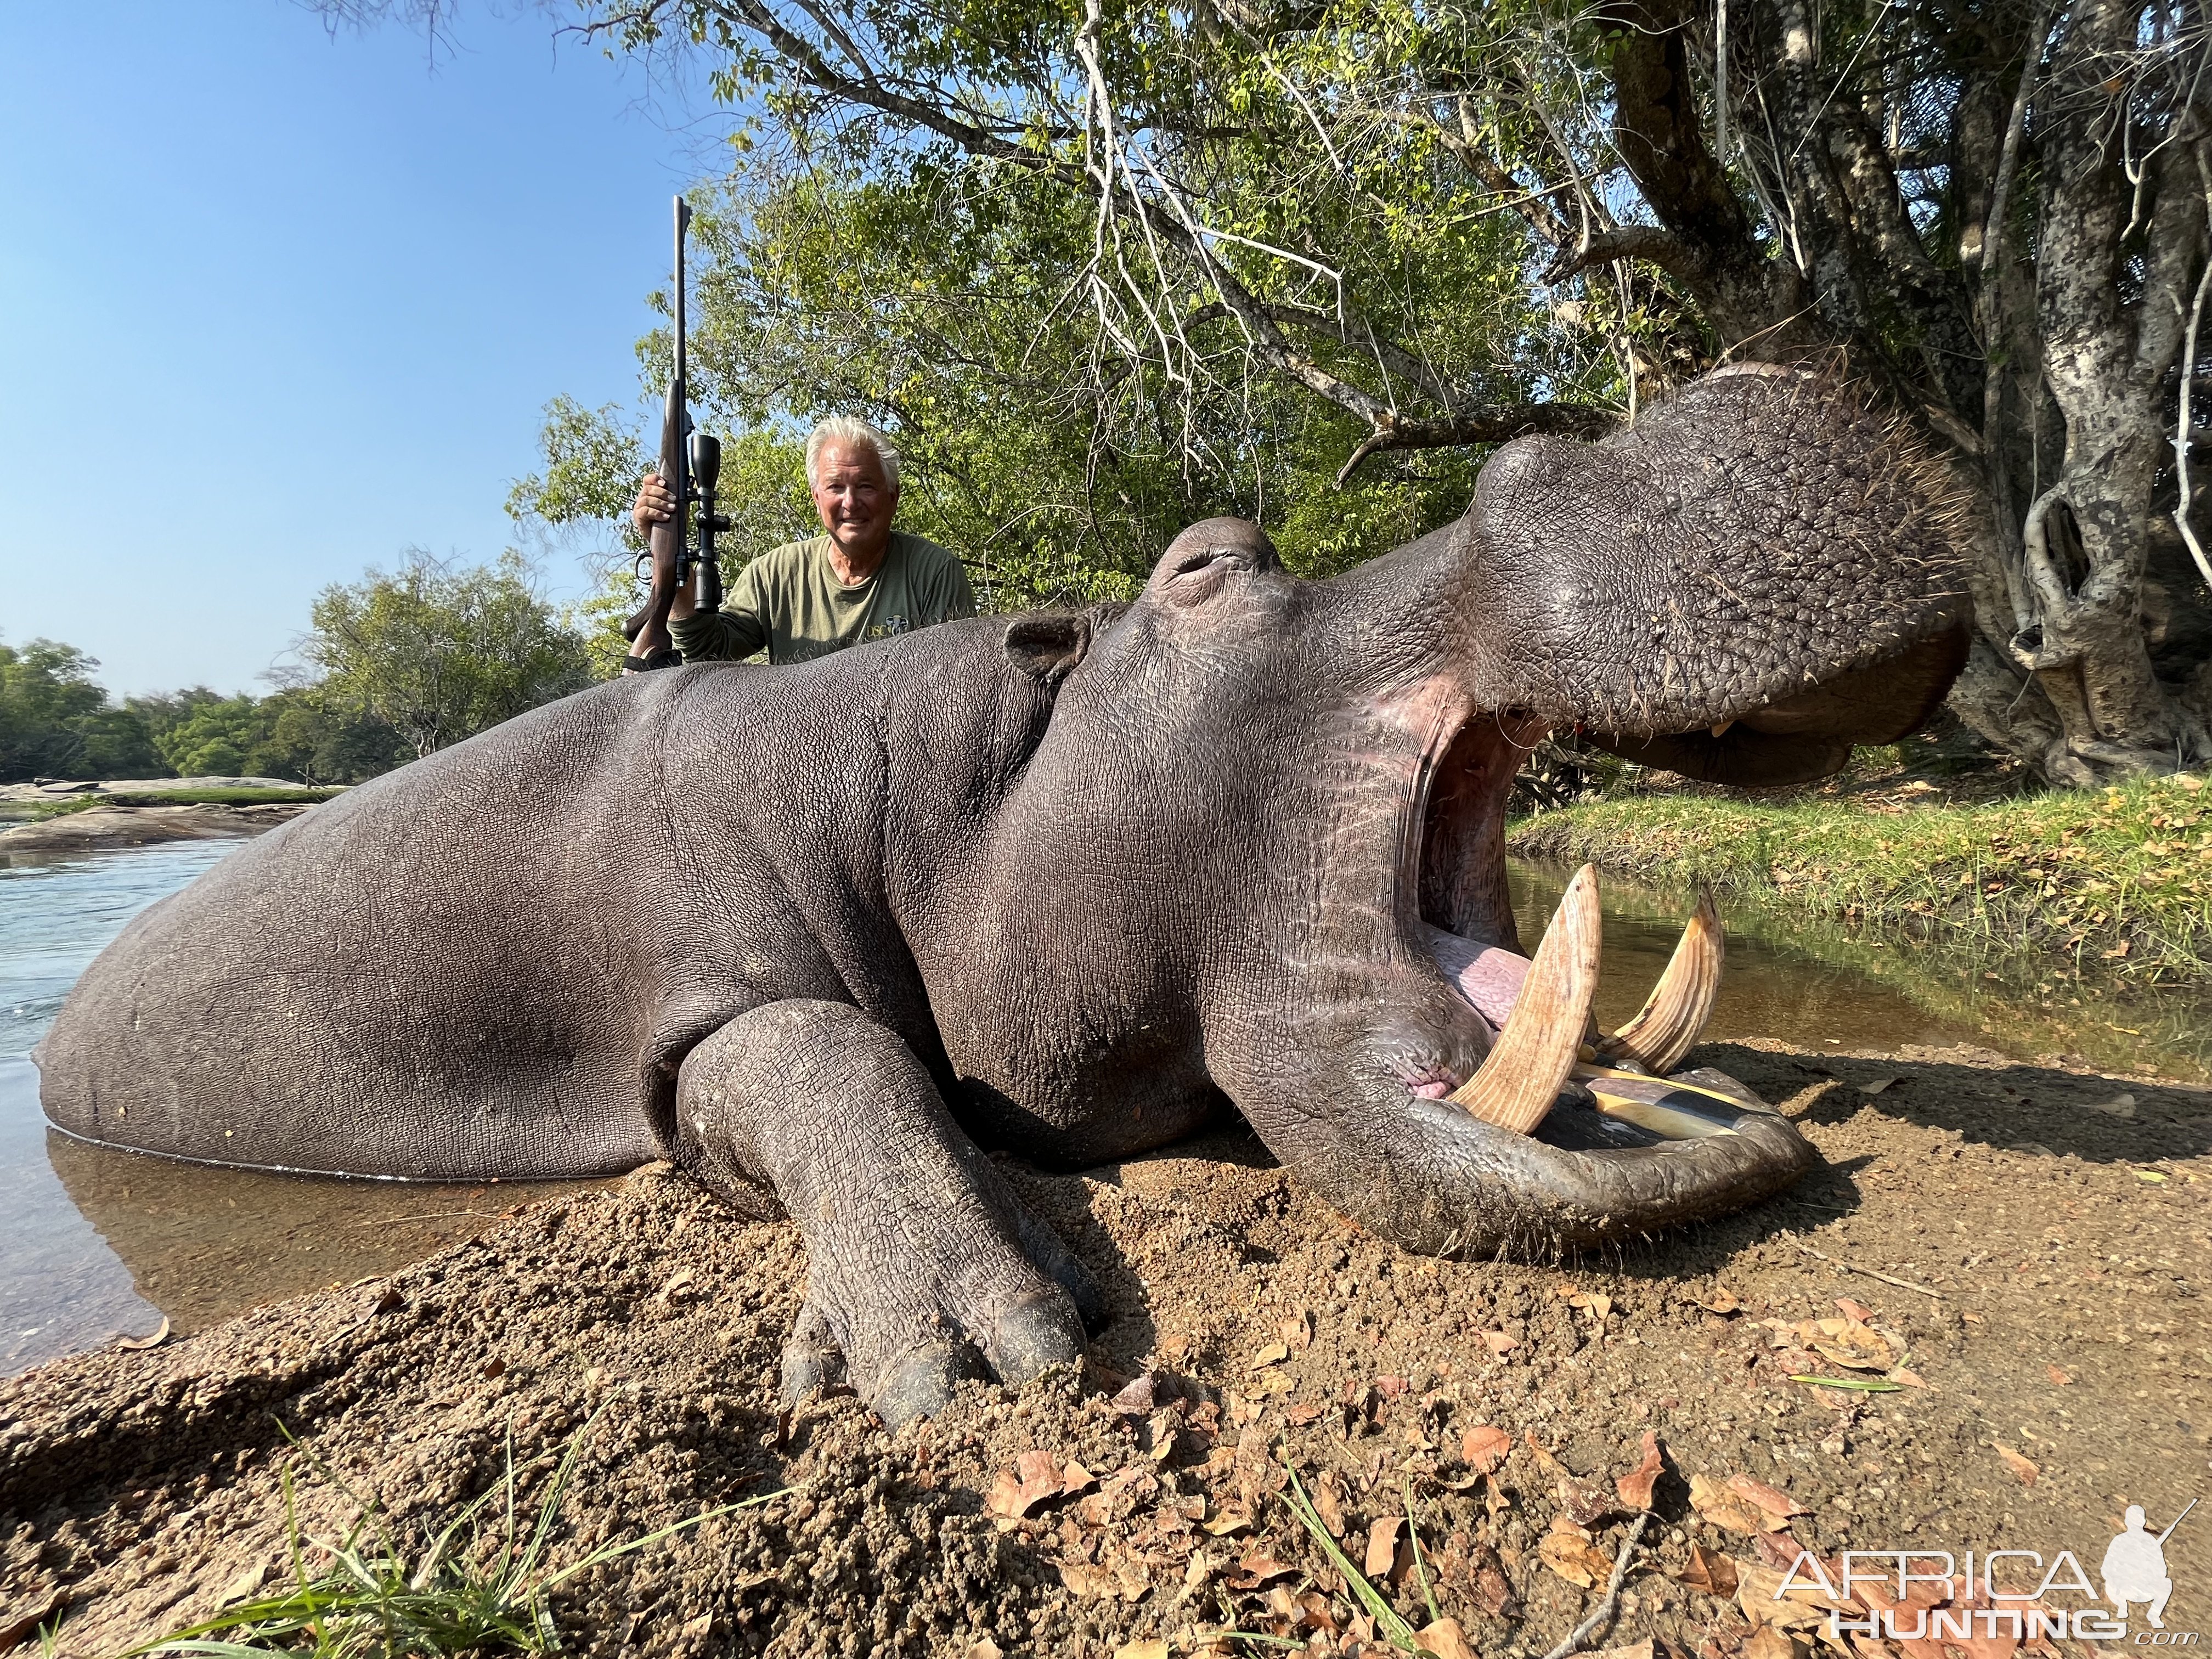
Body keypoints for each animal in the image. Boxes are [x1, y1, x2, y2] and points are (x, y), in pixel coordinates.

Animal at [39, 367, 1973, 1433]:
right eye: (1205, 567)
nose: (1627, 436)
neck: (951, 801)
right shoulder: (695, 1014)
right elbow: (822, 1062)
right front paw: (971, 1349)